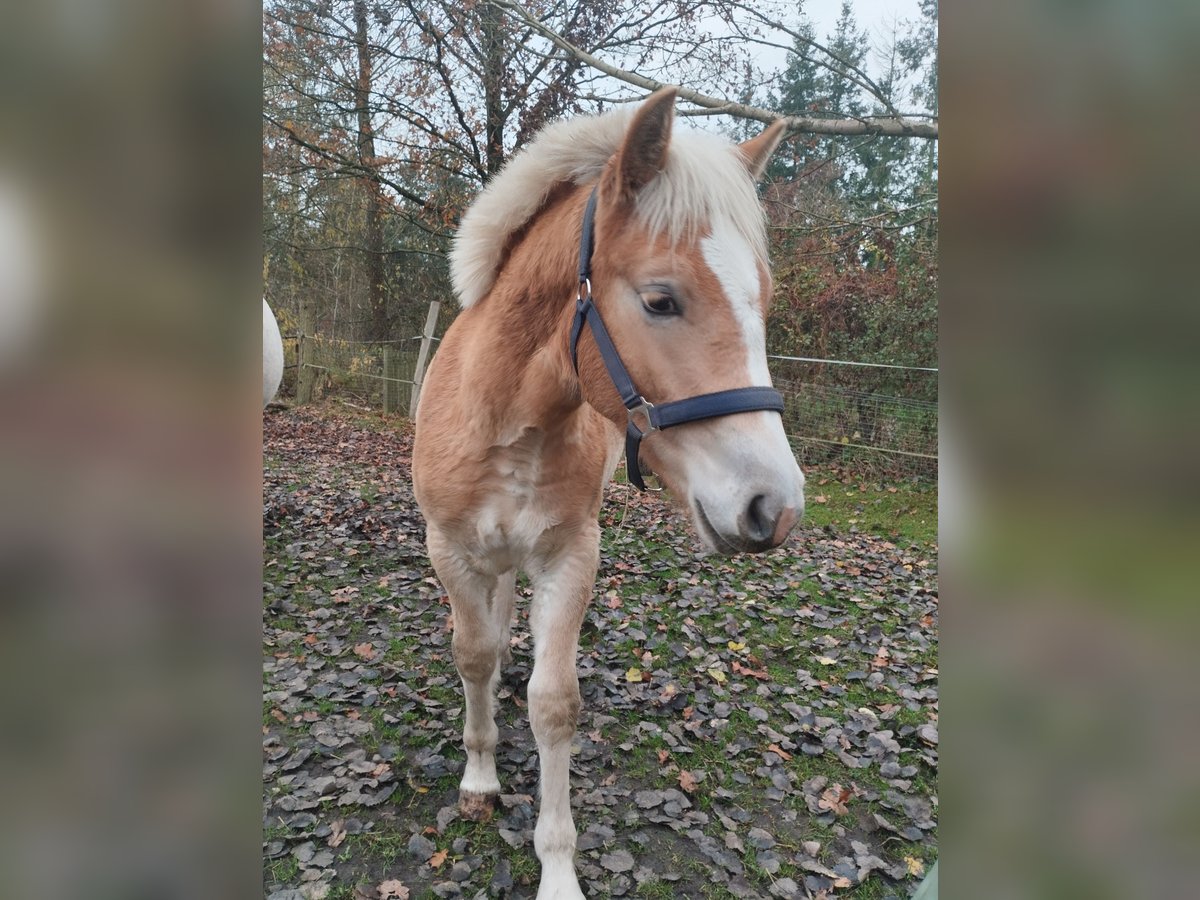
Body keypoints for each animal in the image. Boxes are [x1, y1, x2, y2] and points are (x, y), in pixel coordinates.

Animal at [412, 86, 806, 900]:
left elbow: (554, 703)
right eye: (660, 301)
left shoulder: (570, 558)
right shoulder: (452, 552)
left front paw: (559, 868)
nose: (774, 507)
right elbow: (472, 654)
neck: (508, 424)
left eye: (764, 299)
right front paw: (479, 776)